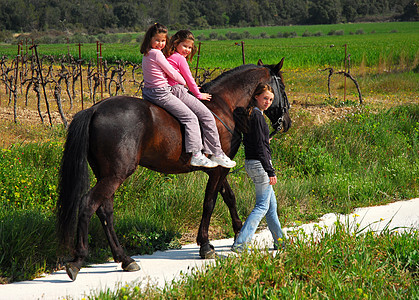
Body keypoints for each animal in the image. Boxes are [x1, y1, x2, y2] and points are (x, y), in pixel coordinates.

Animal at [56, 59, 292, 282]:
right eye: (282, 87)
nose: (287, 123)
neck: (223, 106)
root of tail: (94, 109)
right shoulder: (218, 170)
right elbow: (210, 202)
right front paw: (205, 245)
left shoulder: (219, 168)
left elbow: (229, 198)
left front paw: (237, 233)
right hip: (115, 175)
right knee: (88, 204)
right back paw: (78, 260)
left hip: (106, 175)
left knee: (105, 210)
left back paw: (124, 259)